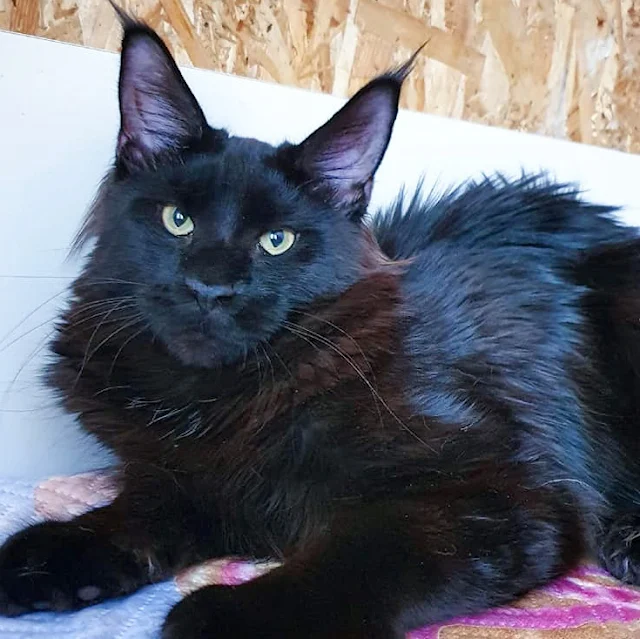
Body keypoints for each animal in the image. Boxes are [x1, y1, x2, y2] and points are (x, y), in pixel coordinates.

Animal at [1, 13, 640, 639]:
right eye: (177, 220)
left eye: (276, 241)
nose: (210, 287)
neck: (216, 404)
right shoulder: (189, 483)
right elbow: (130, 518)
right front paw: (46, 555)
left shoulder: (502, 491)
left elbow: (364, 552)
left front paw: (227, 615)